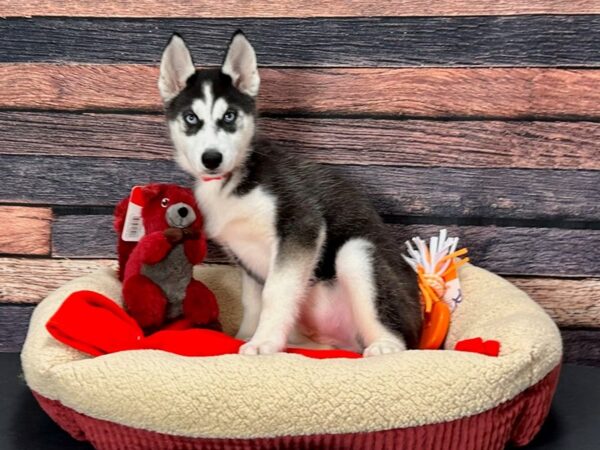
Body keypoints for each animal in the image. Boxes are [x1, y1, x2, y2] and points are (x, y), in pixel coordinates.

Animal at [159, 30, 422, 356]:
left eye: (230, 116)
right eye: (191, 118)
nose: (212, 158)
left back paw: (384, 346)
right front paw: (245, 336)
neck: (232, 182)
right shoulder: (243, 256)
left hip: (357, 254)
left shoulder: (301, 226)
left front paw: (264, 342)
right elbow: (252, 301)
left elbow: (275, 292)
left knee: (398, 338)